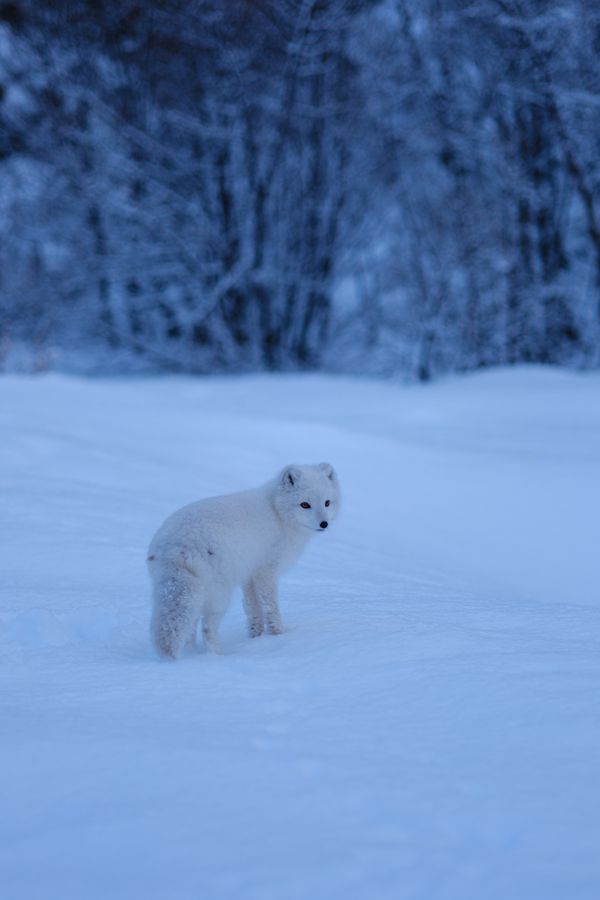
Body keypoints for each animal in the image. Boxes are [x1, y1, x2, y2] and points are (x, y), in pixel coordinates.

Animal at [147, 462, 340, 658]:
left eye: (327, 502)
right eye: (305, 505)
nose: (324, 524)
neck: (277, 512)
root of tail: (177, 545)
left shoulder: (249, 574)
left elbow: (252, 607)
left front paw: (256, 636)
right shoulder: (266, 571)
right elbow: (270, 606)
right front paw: (278, 635)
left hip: (191, 593)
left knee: (190, 627)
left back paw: (191, 652)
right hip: (219, 596)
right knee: (207, 628)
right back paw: (218, 655)